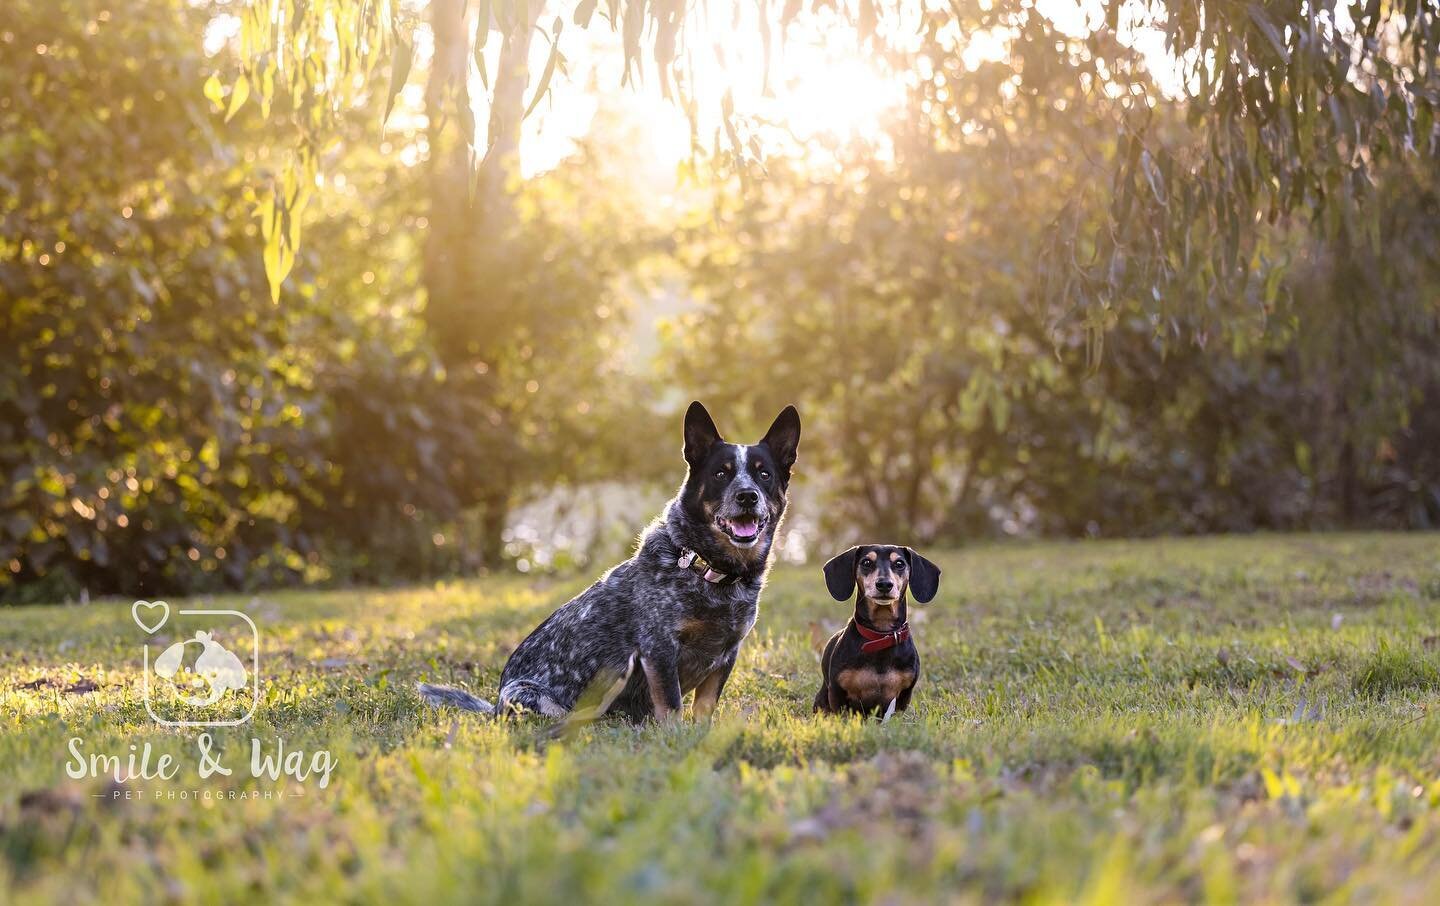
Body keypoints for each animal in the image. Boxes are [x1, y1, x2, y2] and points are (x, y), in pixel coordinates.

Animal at [420, 403, 800, 720]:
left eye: (763, 474)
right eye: (721, 474)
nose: (747, 495)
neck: (708, 568)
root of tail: (494, 705)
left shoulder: (726, 653)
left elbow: (704, 707)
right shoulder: (659, 647)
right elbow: (672, 705)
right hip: (533, 697)